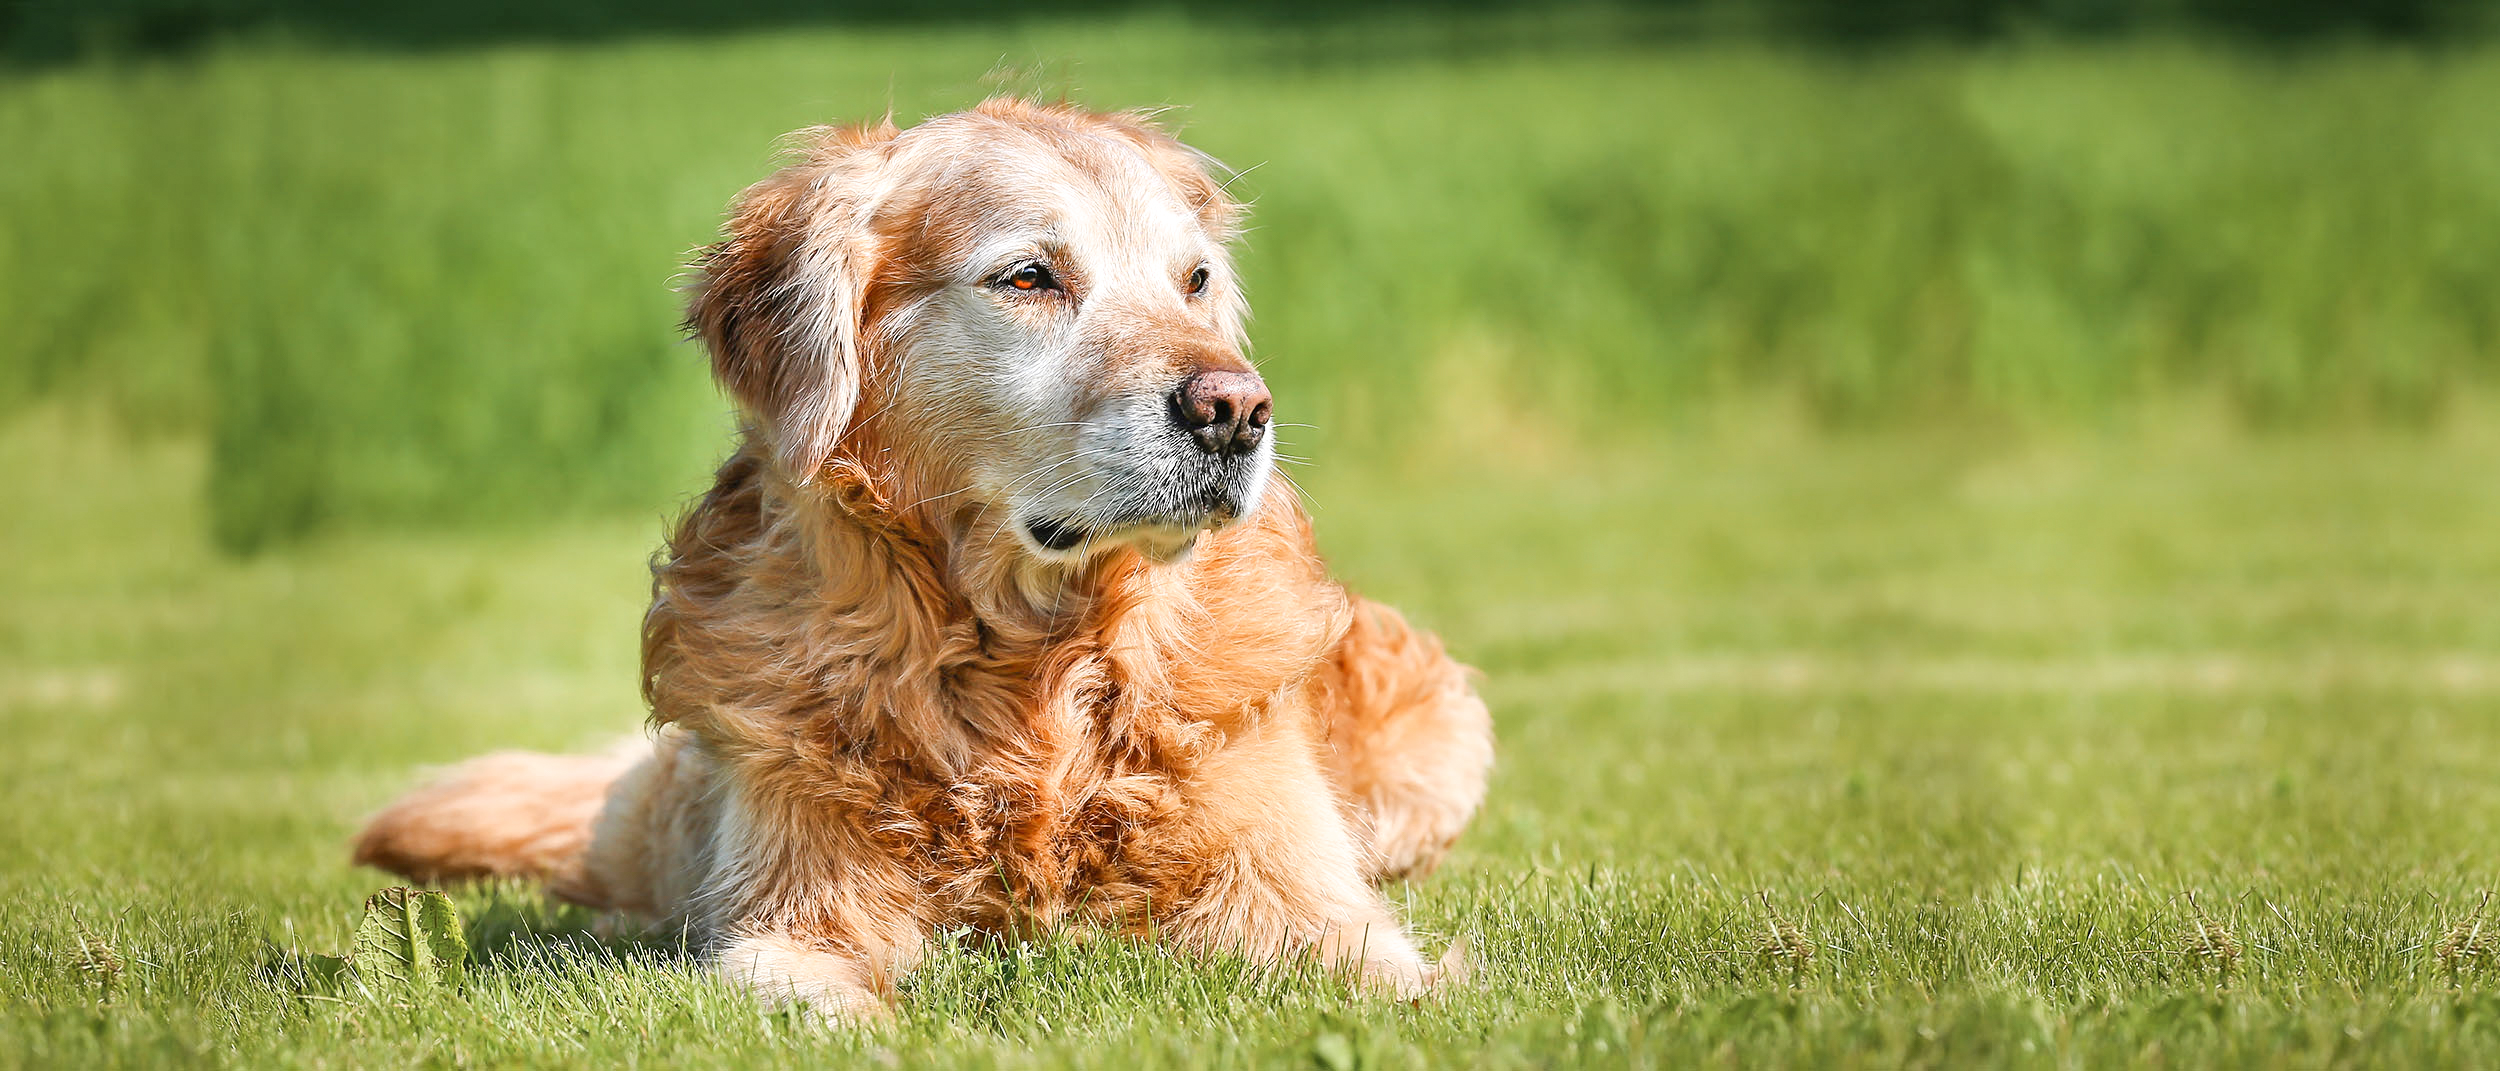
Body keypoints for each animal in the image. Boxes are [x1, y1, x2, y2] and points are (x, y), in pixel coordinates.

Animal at [350, 100, 1480, 1020]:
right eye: (1028, 276)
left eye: (1194, 281)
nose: (1235, 410)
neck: (1027, 667)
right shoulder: (791, 908)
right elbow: (801, 989)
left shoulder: (1297, 886)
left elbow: (1391, 973)